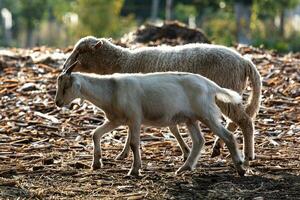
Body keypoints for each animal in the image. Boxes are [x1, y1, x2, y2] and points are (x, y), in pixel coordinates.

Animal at [55, 61, 245, 176]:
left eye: (65, 86)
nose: (57, 102)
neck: (111, 89)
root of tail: (211, 85)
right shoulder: (117, 120)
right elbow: (95, 133)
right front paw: (96, 163)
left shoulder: (134, 118)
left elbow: (133, 143)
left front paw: (134, 170)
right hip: (191, 118)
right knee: (199, 141)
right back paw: (184, 168)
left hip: (206, 114)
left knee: (227, 136)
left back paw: (240, 167)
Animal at [62, 36, 260, 164]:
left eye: (80, 52)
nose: (64, 67)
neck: (123, 61)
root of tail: (245, 61)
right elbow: (171, 128)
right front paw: (184, 151)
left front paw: (123, 154)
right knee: (235, 122)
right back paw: (219, 147)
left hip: (226, 90)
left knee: (245, 121)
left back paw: (248, 155)